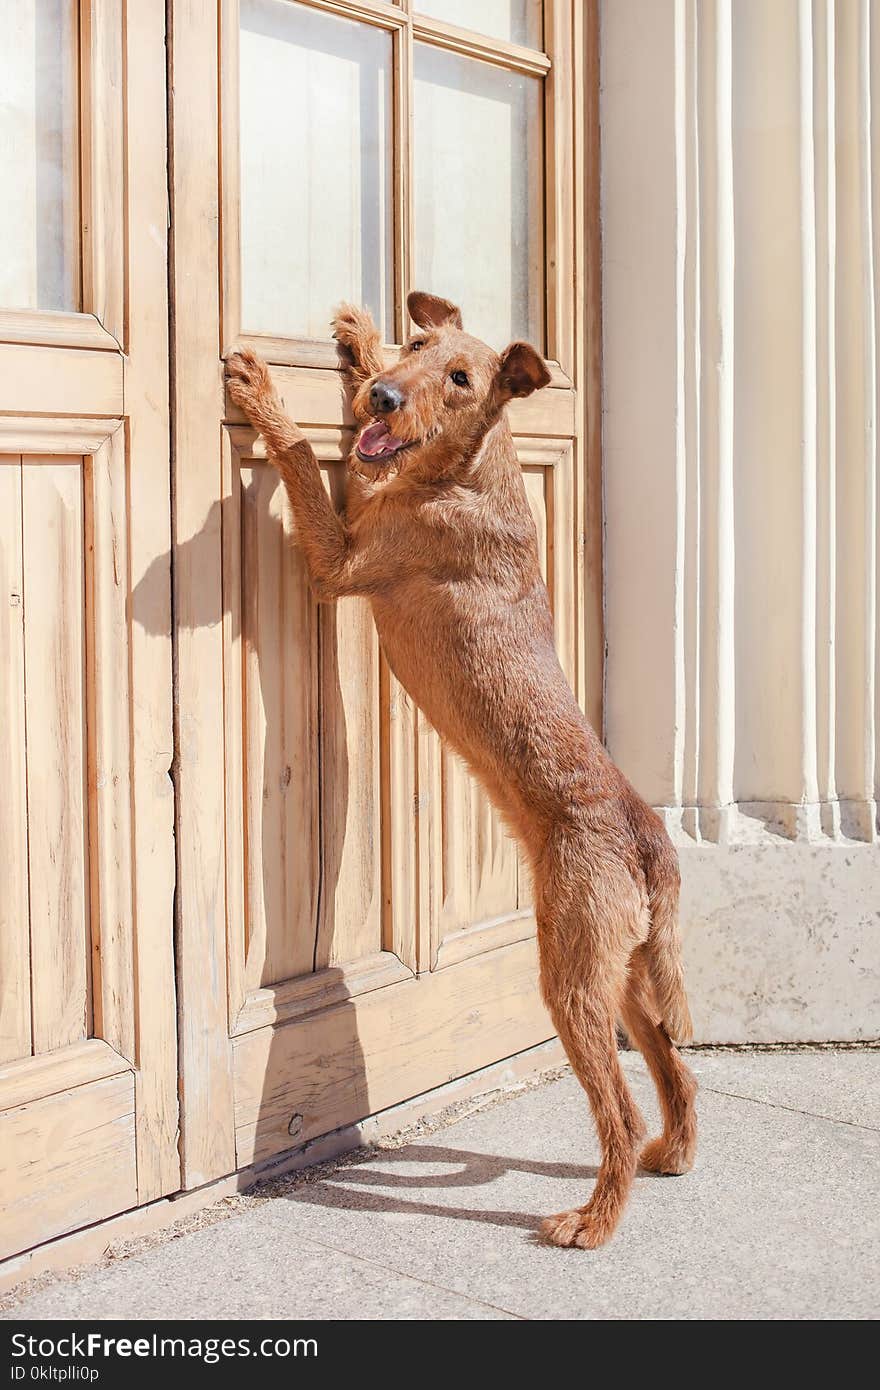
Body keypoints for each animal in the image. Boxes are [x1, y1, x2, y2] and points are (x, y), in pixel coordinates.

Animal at [225, 287, 692, 1245]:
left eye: (463, 380)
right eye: (418, 345)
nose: (385, 400)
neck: (471, 471)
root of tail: (648, 837)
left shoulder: (342, 559)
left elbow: (301, 456)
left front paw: (264, 391)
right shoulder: (368, 492)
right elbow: (350, 431)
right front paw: (359, 340)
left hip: (572, 978)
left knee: (620, 1106)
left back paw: (592, 1222)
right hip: (626, 973)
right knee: (675, 1069)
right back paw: (675, 1154)